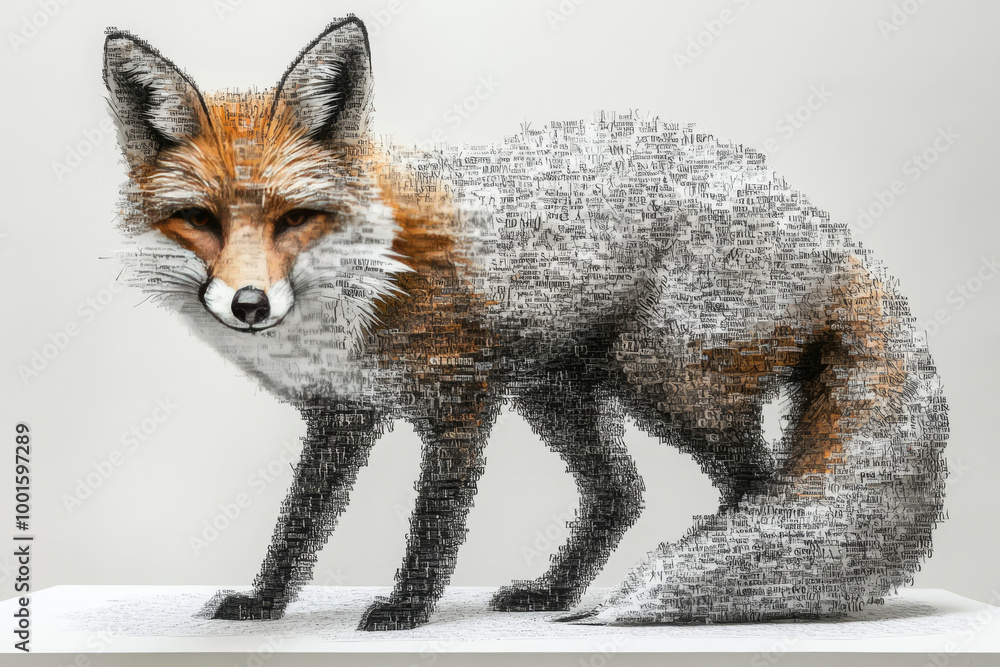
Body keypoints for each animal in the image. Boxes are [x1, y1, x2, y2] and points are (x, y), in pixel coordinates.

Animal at [103, 16, 948, 630]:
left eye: (294, 219)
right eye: (200, 220)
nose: (249, 304)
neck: (368, 274)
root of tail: (833, 234)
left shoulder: (460, 398)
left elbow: (434, 524)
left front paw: (407, 608)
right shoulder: (343, 413)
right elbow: (298, 527)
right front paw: (265, 602)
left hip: (669, 385)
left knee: (759, 487)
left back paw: (740, 603)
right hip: (559, 390)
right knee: (621, 492)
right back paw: (555, 592)